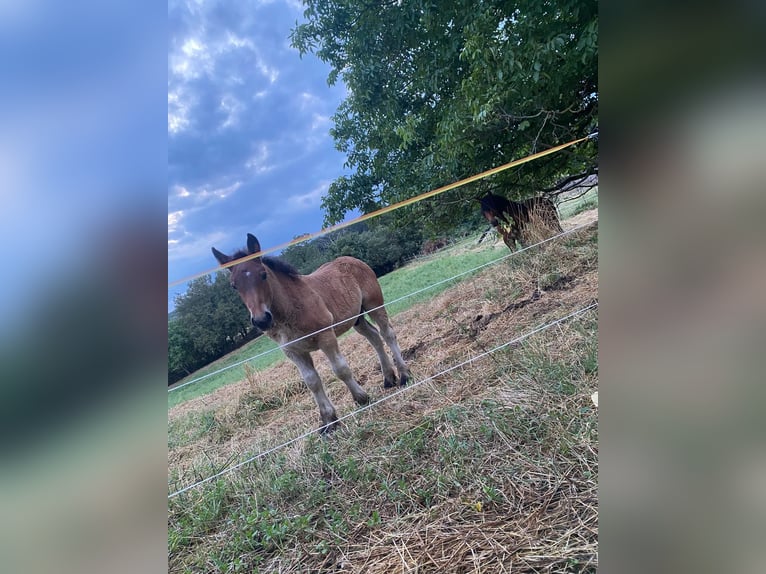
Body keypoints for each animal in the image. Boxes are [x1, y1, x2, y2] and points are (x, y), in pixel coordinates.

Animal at [213, 234, 412, 432]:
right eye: (234, 285)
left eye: (263, 274)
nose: (262, 320)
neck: (290, 309)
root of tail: (352, 259)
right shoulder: (293, 351)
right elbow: (312, 382)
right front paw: (329, 421)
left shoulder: (326, 337)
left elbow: (340, 369)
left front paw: (361, 398)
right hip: (357, 319)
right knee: (375, 337)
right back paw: (388, 378)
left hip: (374, 305)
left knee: (387, 334)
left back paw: (404, 375)